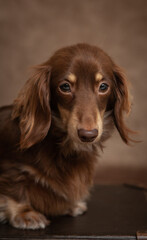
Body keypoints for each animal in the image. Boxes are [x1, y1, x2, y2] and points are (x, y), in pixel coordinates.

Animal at [0, 43, 134, 229]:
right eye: (65, 87)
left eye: (103, 86)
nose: (88, 134)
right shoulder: (11, 167)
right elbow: (14, 188)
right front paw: (24, 213)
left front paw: (70, 206)